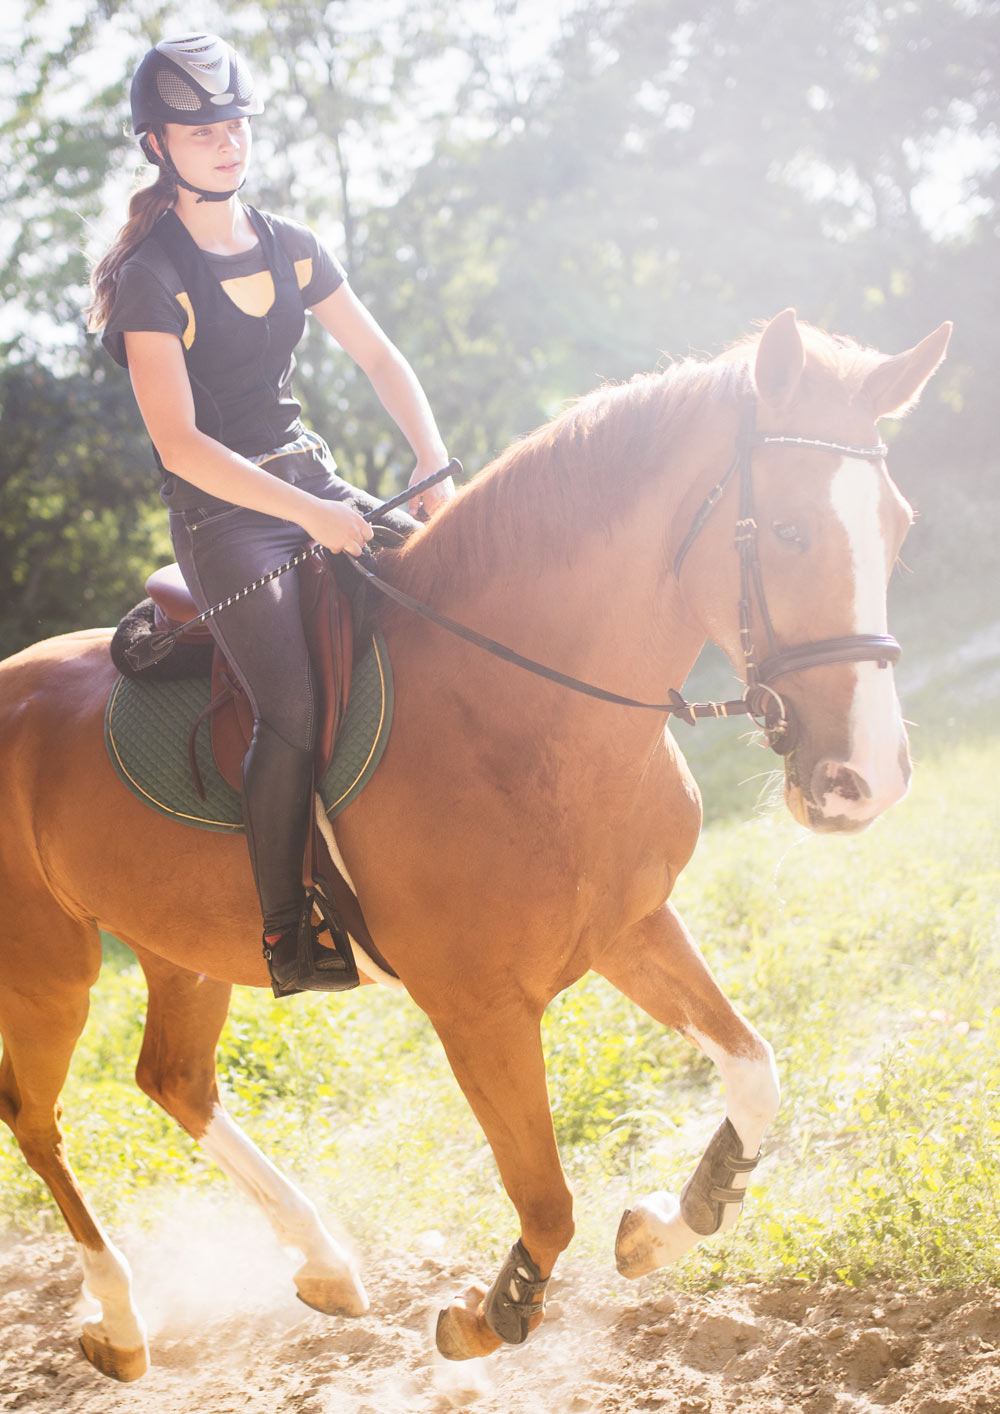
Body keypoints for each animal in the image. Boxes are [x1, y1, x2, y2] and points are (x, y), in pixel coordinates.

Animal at [0, 312, 956, 1380]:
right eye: (787, 530)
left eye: (898, 525)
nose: (866, 777)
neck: (516, 705)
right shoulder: (477, 1010)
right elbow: (546, 1200)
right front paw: (493, 1311)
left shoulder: (632, 926)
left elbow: (756, 1071)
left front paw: (672, 1219)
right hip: (46, 973)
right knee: (36, 1122)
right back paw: (122, 1319)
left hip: (178, 952)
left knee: (173, 1079)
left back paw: (323, 1262)